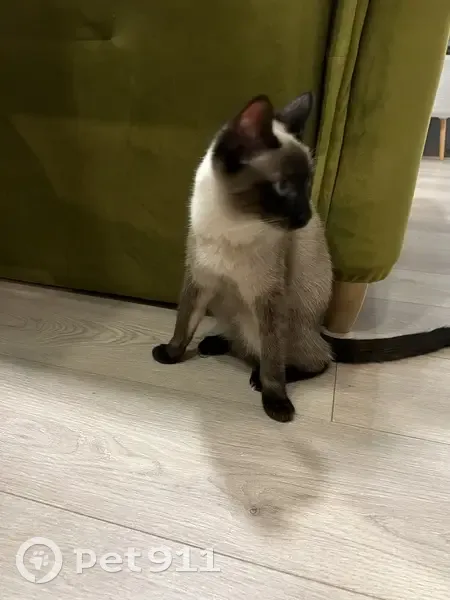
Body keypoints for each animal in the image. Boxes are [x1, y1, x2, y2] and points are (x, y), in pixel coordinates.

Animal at [152, 92, 450, 423]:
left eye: (307, 187)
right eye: (283, 188)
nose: (306, 217)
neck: (233, 224)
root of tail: (318, 328)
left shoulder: (268, 297)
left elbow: (273, 362)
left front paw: (276, 402)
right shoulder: (199, 280)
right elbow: (184, 325)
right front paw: (169, 355)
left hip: (272, 323)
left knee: (317, 360)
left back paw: (258, 378)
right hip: (230, 311)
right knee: (245, 343)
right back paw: (213, 343)